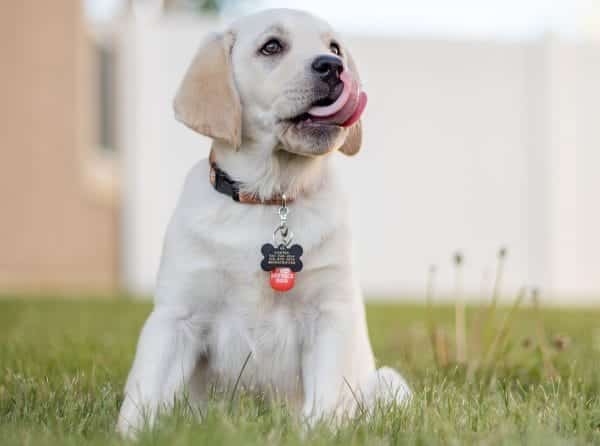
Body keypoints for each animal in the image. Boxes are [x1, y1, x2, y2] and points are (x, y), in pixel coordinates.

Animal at [115, 8, 410, 438]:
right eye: (271, 46)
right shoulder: (176, 316)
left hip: (390, 383)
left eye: (334, 47)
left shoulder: (329, 315)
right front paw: (130, 433)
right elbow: (145, 391)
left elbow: (324, 399)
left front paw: (315, 435)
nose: (333, 67)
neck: (271, 197)